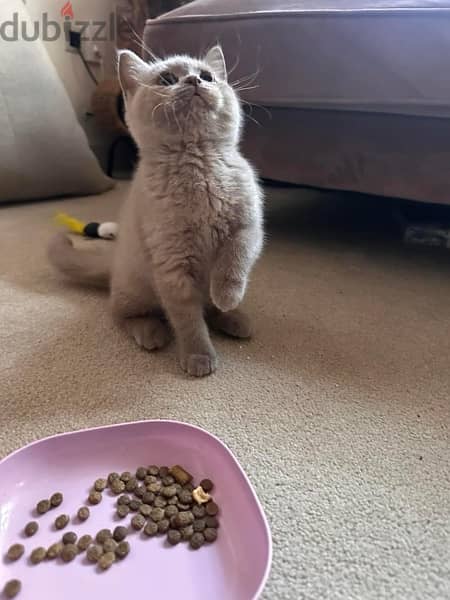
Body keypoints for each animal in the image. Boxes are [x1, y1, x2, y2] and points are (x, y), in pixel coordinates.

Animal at [48, 45, 264, 376]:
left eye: (207, 76)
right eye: (167, 79)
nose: (193, 81)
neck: (198, 166)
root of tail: (113, 264)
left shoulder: (248, 227)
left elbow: (234, 261)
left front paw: (228, 296)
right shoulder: (172, 262)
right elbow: (188, 319)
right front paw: (199, 355)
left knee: (209, 307)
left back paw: (233, 316)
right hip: (135, 291)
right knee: (121, 314)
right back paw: (151, 332)